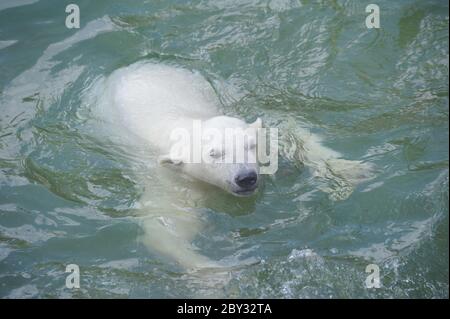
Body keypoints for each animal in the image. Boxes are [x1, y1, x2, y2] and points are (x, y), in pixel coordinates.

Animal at [89, 62, 374, 272]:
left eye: (250, 145)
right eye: (214, 154)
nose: (246, 178)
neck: (187, 123)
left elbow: (288, 133)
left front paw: (347, 171)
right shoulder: (173, 182)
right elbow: (165, 228)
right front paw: (217, 275)